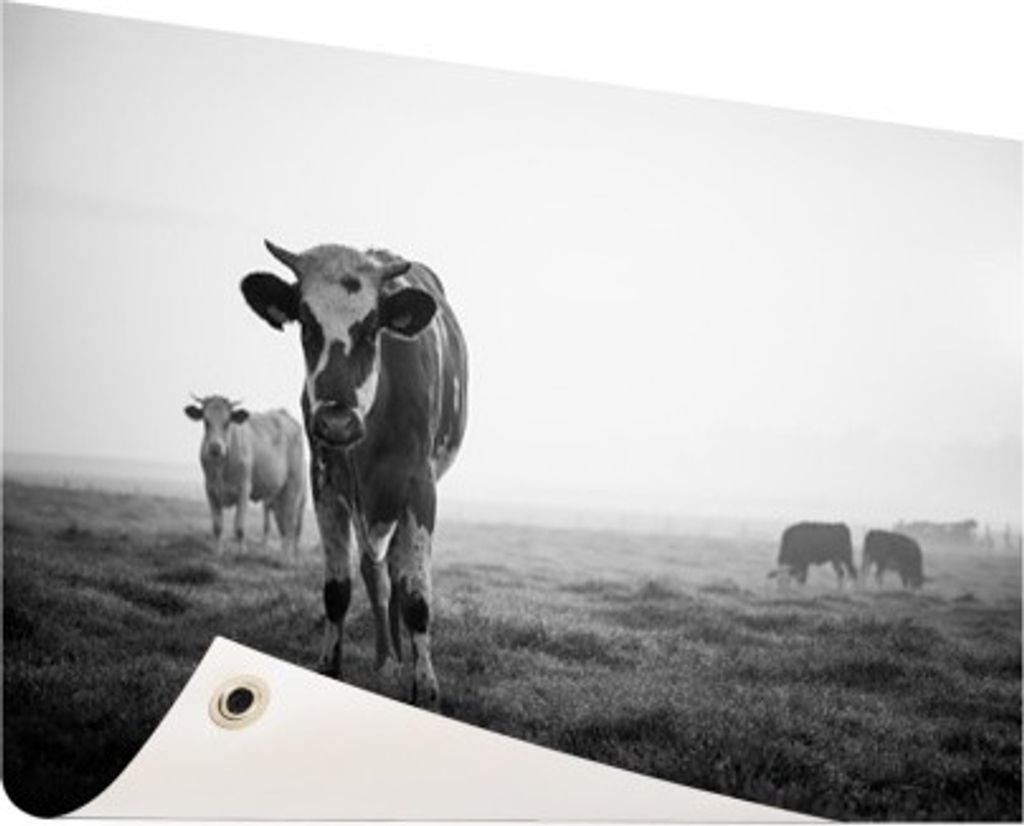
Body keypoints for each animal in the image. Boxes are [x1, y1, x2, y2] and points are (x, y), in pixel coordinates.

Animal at [184, 395, 306, 557]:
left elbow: (240, 526)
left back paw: (287, 556)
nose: (215, 447)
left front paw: (241, 552)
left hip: (293, 488)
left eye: (227, 422)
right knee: (283, 526)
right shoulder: (210, 489)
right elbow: (217, 526)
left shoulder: (244, 489)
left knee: (291, 524)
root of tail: (286, 416)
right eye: (206, 422)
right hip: (277, 495)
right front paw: (217, 552)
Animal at [240, 241, 468, 708]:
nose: (337, 423)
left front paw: (425, 687)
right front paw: (329, 666)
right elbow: (337, 590)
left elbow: (417, 597)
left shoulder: (420, 487)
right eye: (306, 325)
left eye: (371, 328)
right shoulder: (325, 482)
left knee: (400, 576)